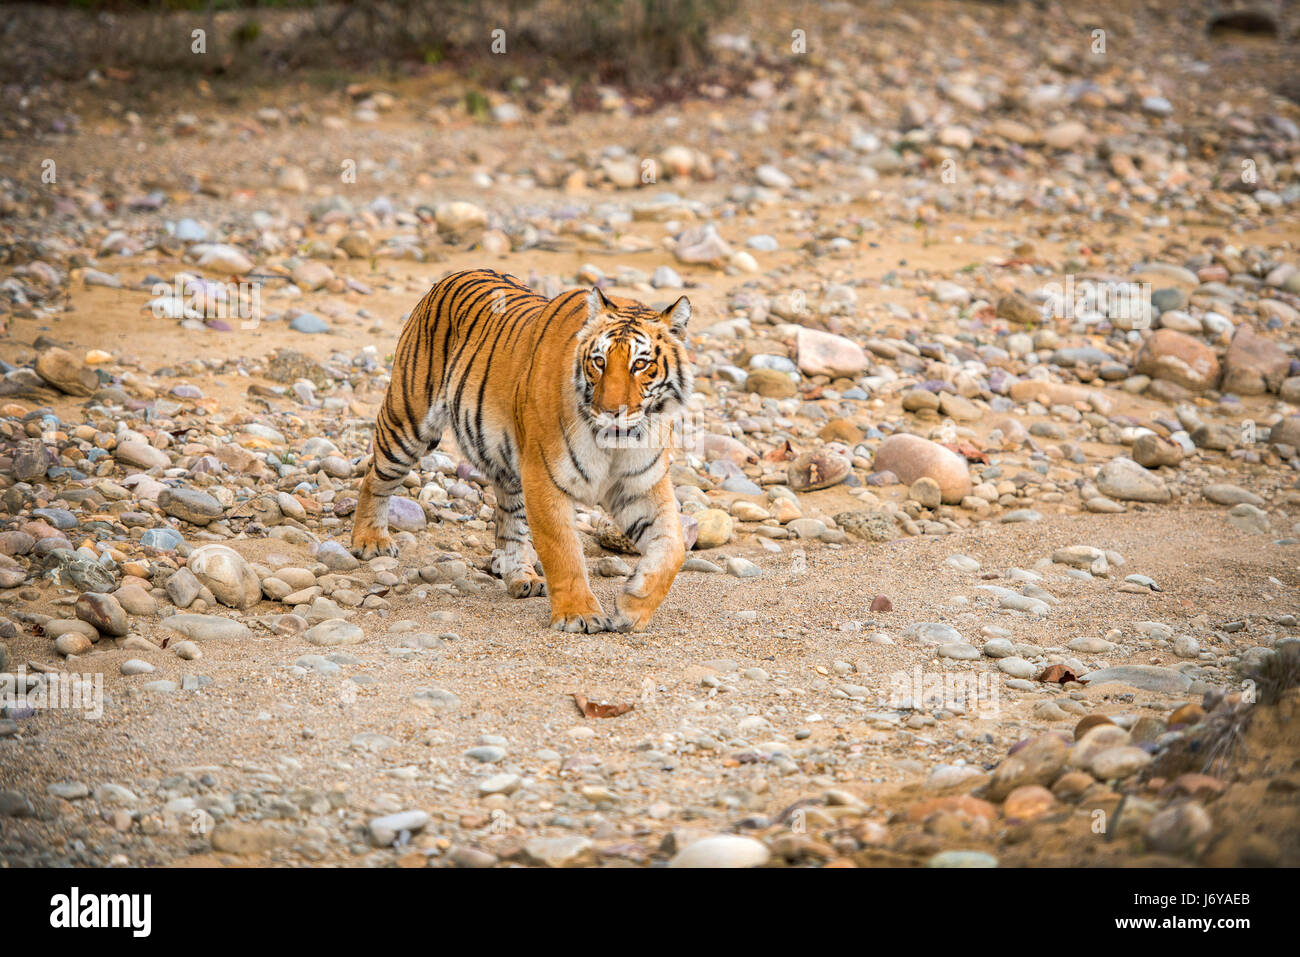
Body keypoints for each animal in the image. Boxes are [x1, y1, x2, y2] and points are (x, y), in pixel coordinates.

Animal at [345, 267, 691, 634]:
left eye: (640, 364)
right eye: (599, 362)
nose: (612, 411)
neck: (615, 442)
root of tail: (455, 274)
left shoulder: (641, 485)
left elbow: (673, 548)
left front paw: (632, 607)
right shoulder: (545, 477)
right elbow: (562, 550)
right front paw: (578, 614)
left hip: (509, 464)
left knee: (510, 519)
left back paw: (520, 577)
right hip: (408, 422)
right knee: (375, 477)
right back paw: (370, 541)